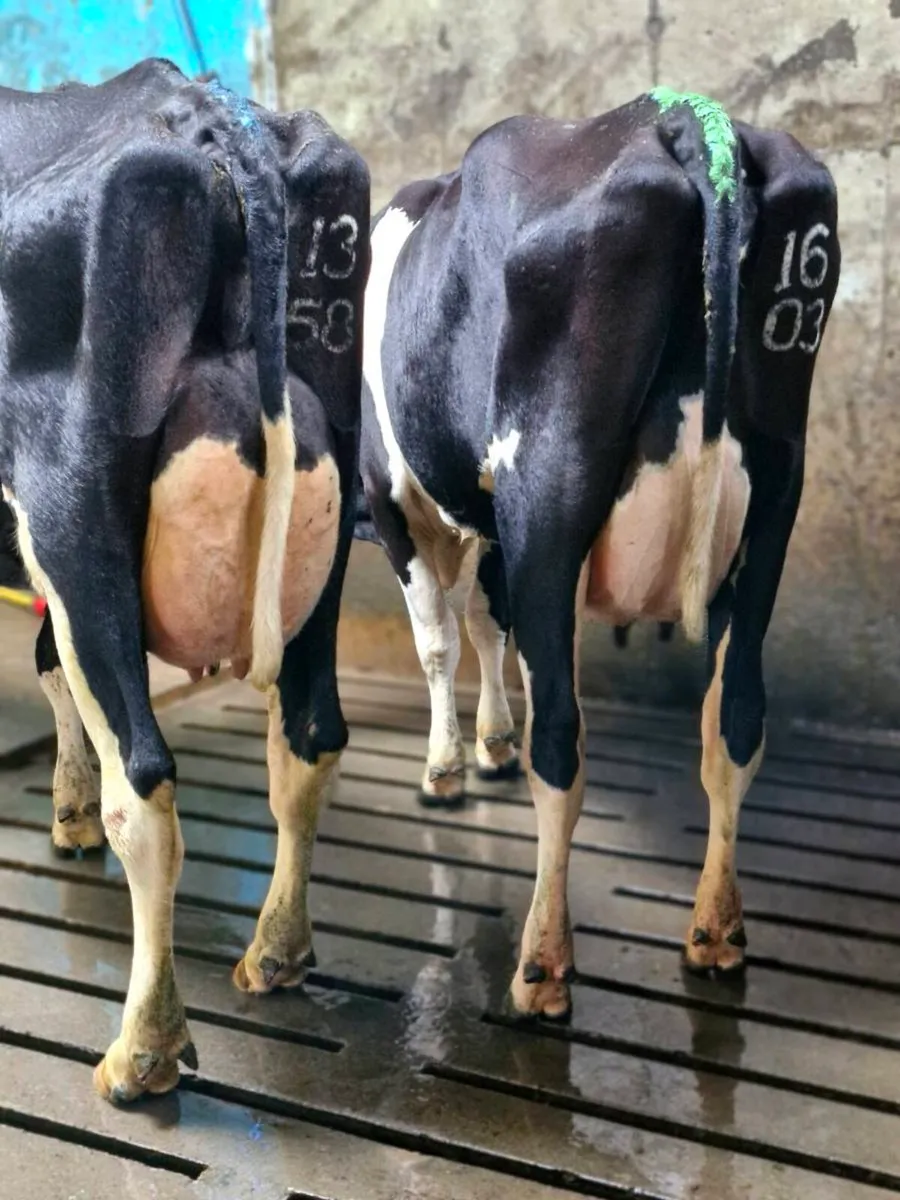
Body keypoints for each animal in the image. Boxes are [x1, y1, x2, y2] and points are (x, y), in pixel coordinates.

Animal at [0, 58, 369, 1100]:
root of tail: (206, 115)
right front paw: (67, 810)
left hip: (70, 510)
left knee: (148, 787)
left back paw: (144, 1050)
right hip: (333, 493)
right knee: (310, 737)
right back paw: (276, 952)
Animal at [358, 89, 839, 1021]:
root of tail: (682, 116)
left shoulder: (399, 500)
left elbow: (440, 640)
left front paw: (446, 768)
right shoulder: (491, 525)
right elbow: (489, 627)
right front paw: (489, 744)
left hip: (550, 487)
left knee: (563, 740)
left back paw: (542, 966)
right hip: (774, 497)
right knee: (735, 721)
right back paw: (716, 933)